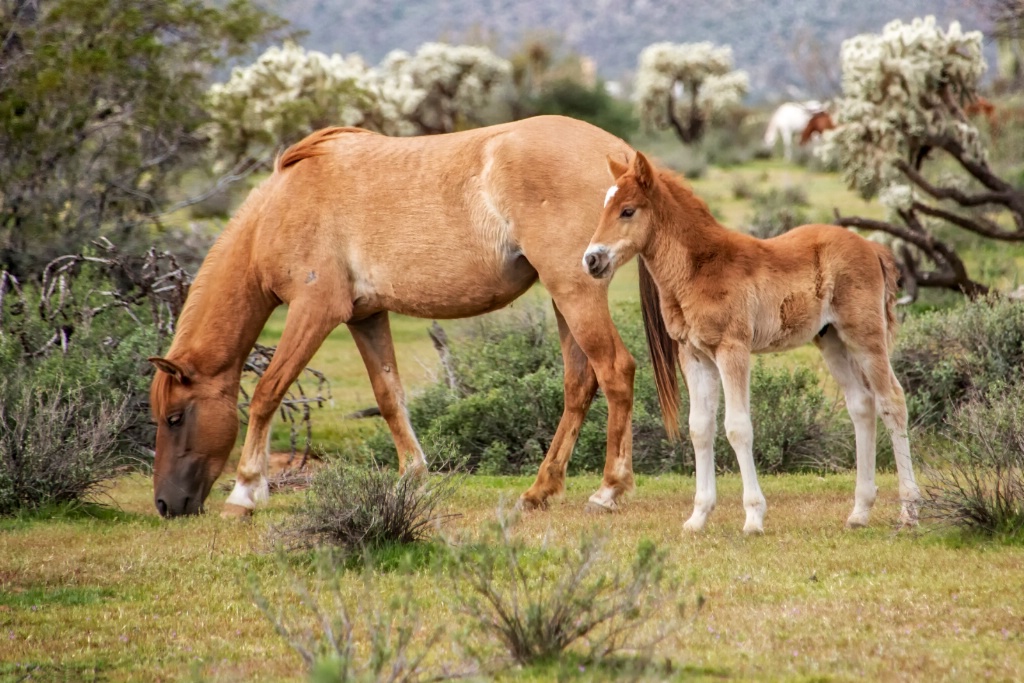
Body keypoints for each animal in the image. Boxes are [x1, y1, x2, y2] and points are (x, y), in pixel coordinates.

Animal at [149, 114, 638, 516]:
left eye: (175, 417)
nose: (166, 504)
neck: (280, 209)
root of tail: (621, 156)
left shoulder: (315, 310)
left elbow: (268, 392)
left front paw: (246, 491)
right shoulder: (365, 317)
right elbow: (389, 397)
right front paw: (412, 476)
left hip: (575, 292)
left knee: (616, 370)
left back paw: (608, 491)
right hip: (563, 296)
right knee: (580, 384)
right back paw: (539, 491)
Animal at [581, 152, 925, 536]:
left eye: (627, 210)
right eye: (604, 207)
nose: (592, 259)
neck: (700, 267)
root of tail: (872, 247)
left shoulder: (733, 349)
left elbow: (737, 427)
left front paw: (753, 517)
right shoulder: (694, 355)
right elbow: (700, 428)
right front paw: (698, 517)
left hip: (864, 335)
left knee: (892, 400)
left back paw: (909, 510)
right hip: (831, 340)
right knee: (862, 404)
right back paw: (860, 511)